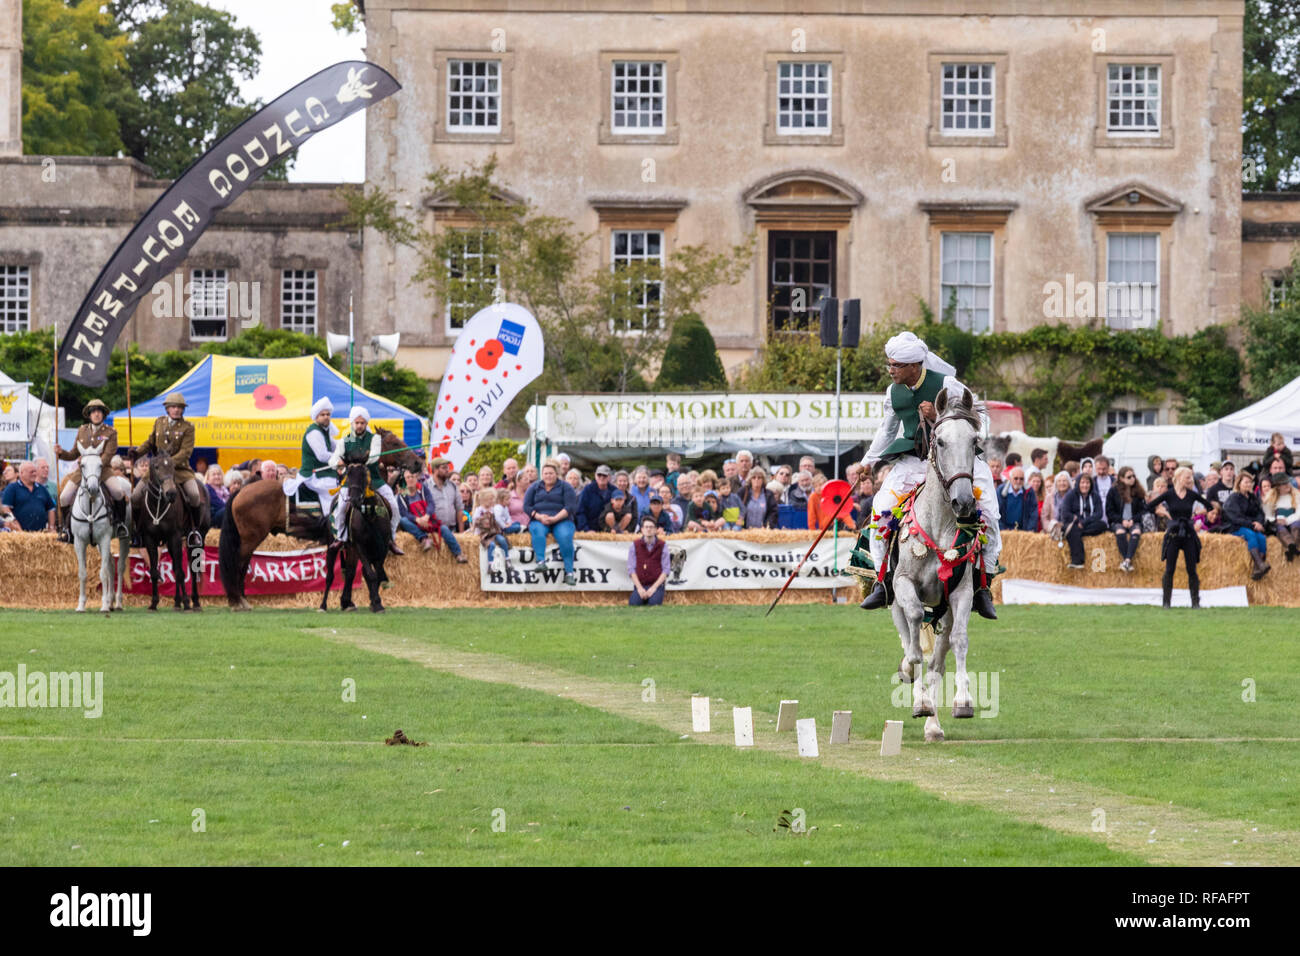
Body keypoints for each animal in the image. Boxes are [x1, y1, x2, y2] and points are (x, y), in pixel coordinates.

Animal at [214, 429, 416, 613]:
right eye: (395, 442)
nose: (417, 461)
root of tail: (242, 490)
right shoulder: (351, 543)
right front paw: (355, 602)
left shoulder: (351, 544)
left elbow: (351, 572)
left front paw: (347, 602)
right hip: (250, 538)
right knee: (239, 564)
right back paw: (238, 601)